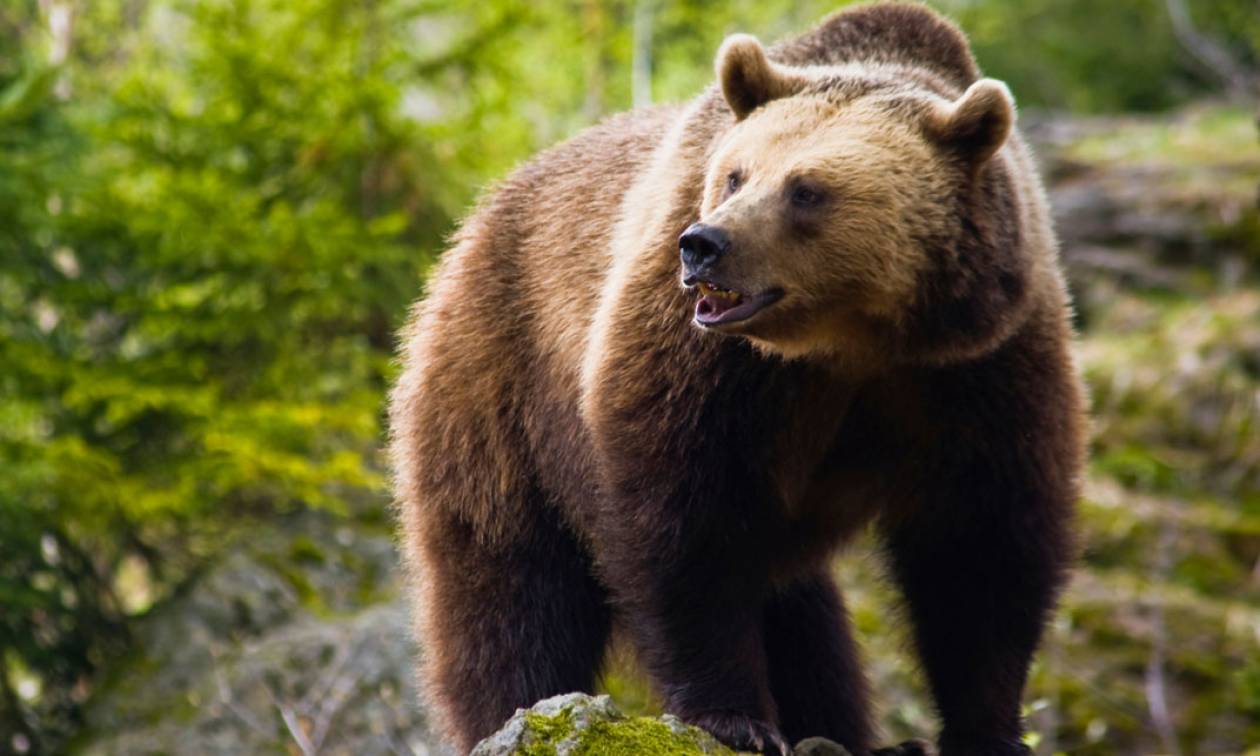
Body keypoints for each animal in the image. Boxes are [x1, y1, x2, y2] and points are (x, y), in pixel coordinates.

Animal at [388, 2, 1088, 750]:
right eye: (734, 174)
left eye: (806, 189)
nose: (702, 245)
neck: (849, 341)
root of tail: (479, 217)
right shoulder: (706, 363)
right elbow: (684, 525)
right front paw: (735, 716)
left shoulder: (975, 366)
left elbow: (980, 548)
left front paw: (988, 728)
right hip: (500, 381)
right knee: (510, 585)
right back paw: (515, 707)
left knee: (806, 622)